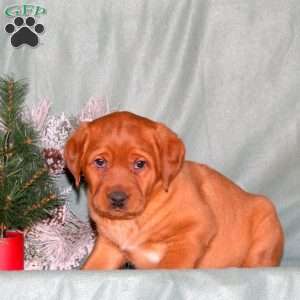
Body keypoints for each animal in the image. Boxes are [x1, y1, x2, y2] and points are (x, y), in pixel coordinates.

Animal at [63, 110, 284, 270]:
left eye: (140, 164)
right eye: (100, 162)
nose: (117, 198)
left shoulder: (196, 229)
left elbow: (171, 265)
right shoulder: (109, 247)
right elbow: (91, 268)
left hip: (265, 222)